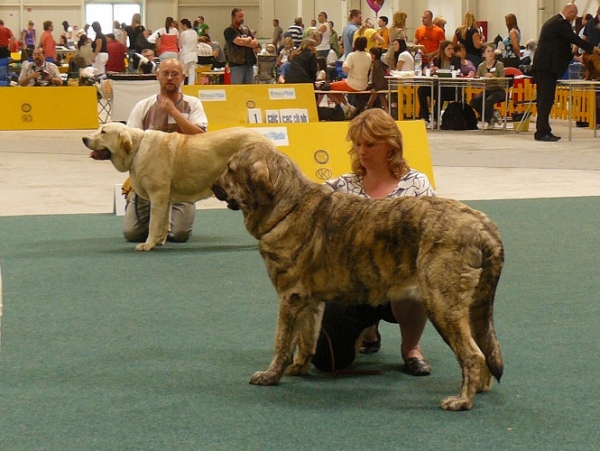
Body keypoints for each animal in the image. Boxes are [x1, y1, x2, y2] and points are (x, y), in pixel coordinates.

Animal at [83, 123, 270, 251]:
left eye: (103, 132)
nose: (84, 138)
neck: (137, 148)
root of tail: (266, 140)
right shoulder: (165, 198)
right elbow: (163, 222)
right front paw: (158, 241)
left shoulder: (157, 195)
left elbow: (153, 223)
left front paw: (147, 244)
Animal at [213, 146, 504, 414]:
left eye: (230, 169)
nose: (213, 185)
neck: (288, 207)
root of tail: (482, 225)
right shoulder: (310, 302)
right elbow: (306, 340)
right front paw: (298, 368)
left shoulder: (289, 298)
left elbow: (282, 343)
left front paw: (270, 375)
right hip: (473, 307)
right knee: (484, 348)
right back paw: (480, 387)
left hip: (441, 302)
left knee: (473, 354)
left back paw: (462, 400)